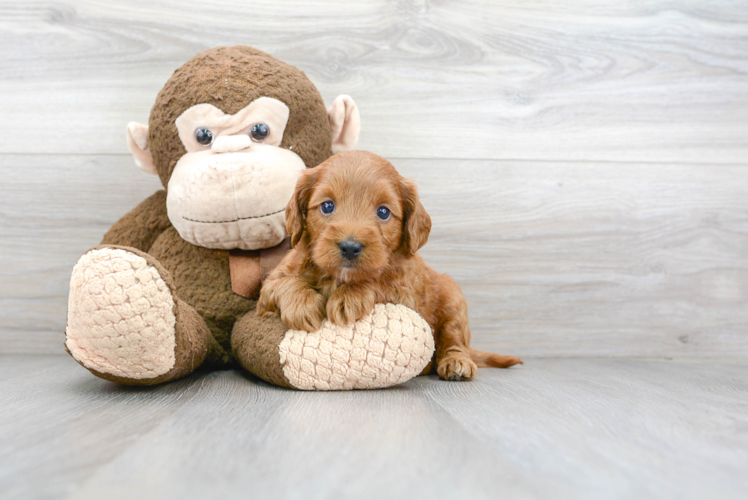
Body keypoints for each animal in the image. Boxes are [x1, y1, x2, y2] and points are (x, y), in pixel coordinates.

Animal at [256, 150, 520, 380]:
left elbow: (377, 282)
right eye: (327, 206)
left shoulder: (405, 295)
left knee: (454, 337)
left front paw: (348, 296)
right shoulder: (269, 289)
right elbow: (283, 283)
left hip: (453, 296)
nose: (350, 247)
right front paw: (303, 306)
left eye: (383, 212)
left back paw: (457, 362)